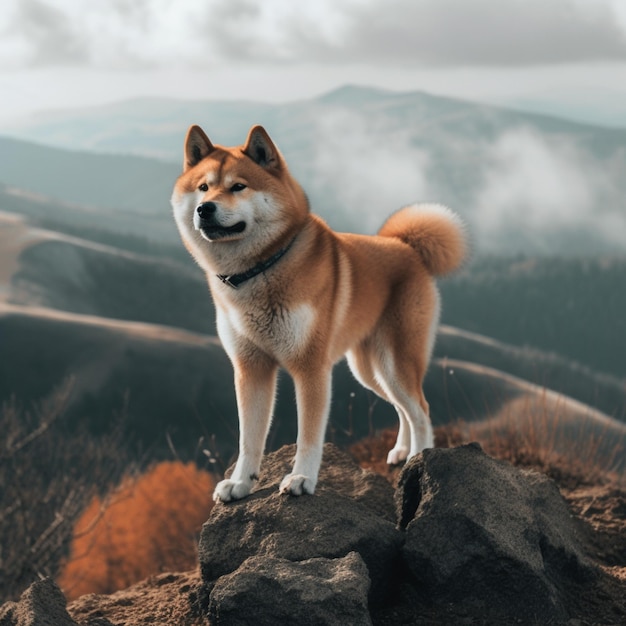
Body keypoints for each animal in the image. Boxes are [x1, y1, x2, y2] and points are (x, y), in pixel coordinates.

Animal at [169, 124, 464, 500]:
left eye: (238, 186)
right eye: (203, 187)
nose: (205, 208)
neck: (261, 268)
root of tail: (406, 247)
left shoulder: (310, 368)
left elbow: (308, 436)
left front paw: (301, 479)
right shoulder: (251, 368)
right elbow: (249, 438)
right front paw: (240, 482)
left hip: (395, 361)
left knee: (421, 410)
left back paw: (418, 457)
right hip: (370, 370)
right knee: (403, 408)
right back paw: (400, 451)